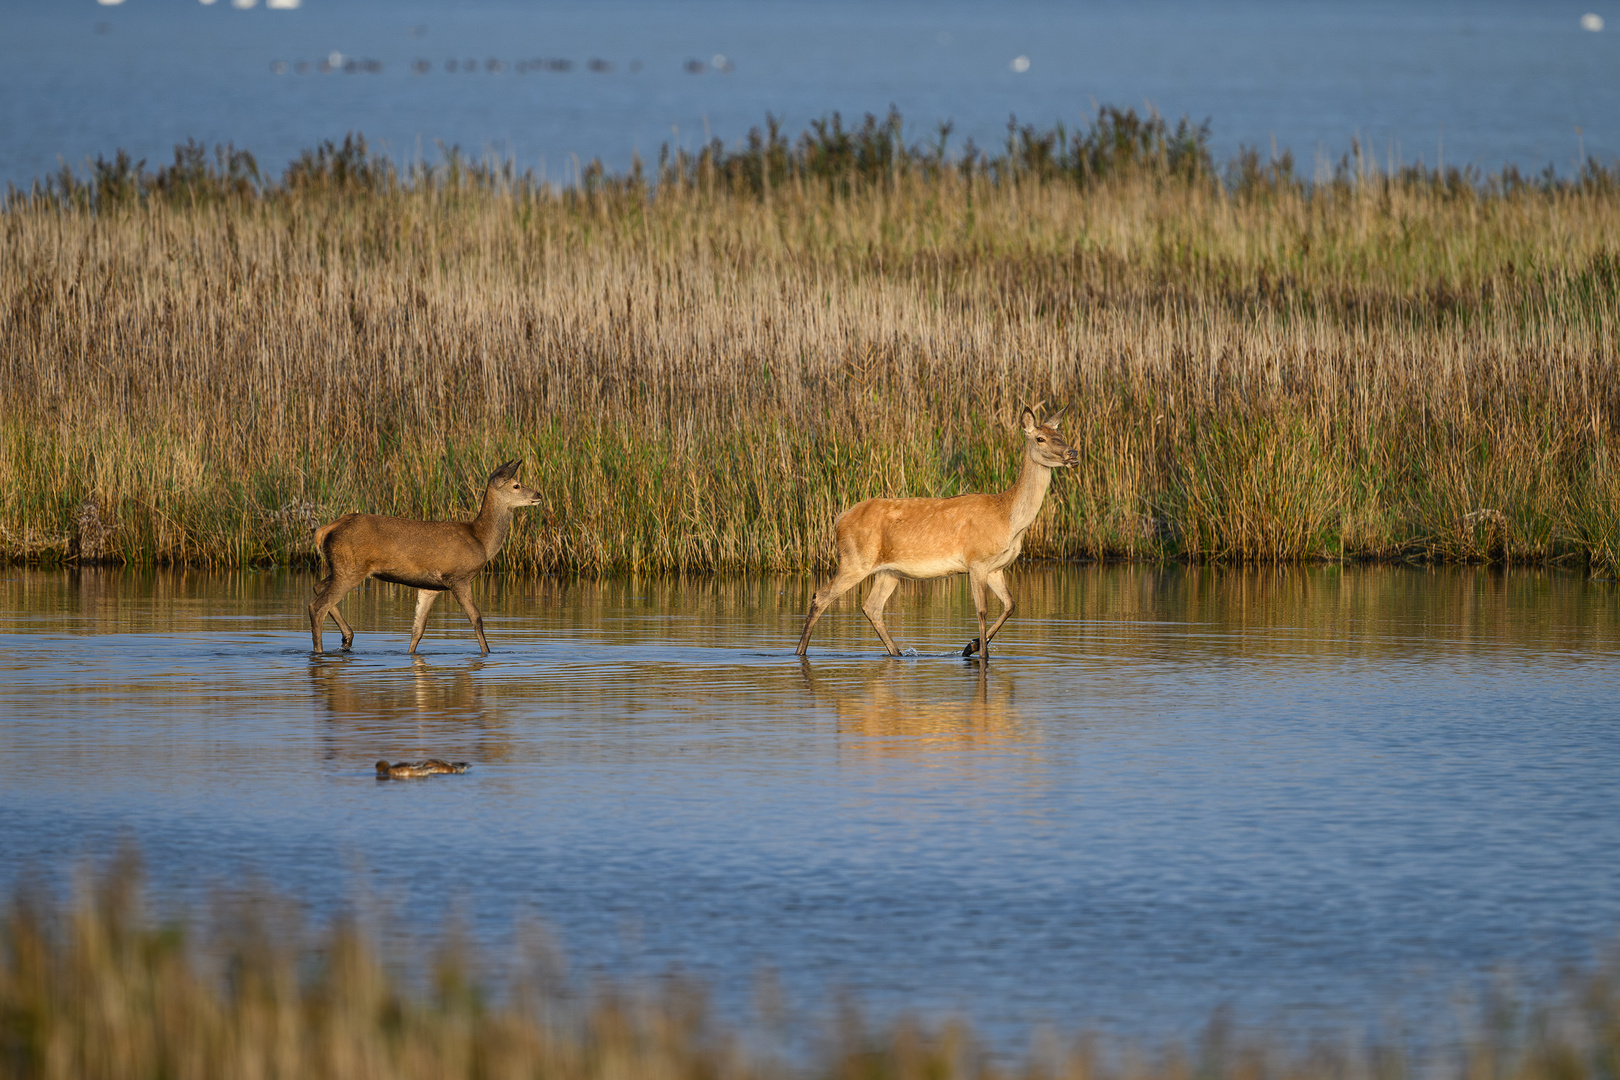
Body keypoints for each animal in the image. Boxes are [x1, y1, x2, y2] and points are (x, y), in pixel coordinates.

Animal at [309, 459, 544, 654]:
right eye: (516, 485)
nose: (539, 495)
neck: (481, 539)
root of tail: (324, 530)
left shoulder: (430, 587)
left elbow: (418, 629)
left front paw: (411, 654)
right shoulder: (458, 578)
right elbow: (476, 618)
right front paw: (487, 652)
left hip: (341, 566)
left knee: (318, 587)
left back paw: (347, 637)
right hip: (351, 568)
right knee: (318, 606)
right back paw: (320, 650)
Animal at [793, 404, 1075, 660]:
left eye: (1061, 434)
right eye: (1040, 438)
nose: (1072, 452)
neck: (1009, 519)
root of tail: (838, 520)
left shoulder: (997, 567)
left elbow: (1011, 605)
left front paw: (969, 646)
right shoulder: (976, 561)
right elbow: (982, 611)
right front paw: (980, 652)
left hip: (888, 571)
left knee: (871, 607)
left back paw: (898, 652)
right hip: (854, 560)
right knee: (821, 596)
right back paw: (799, 651)